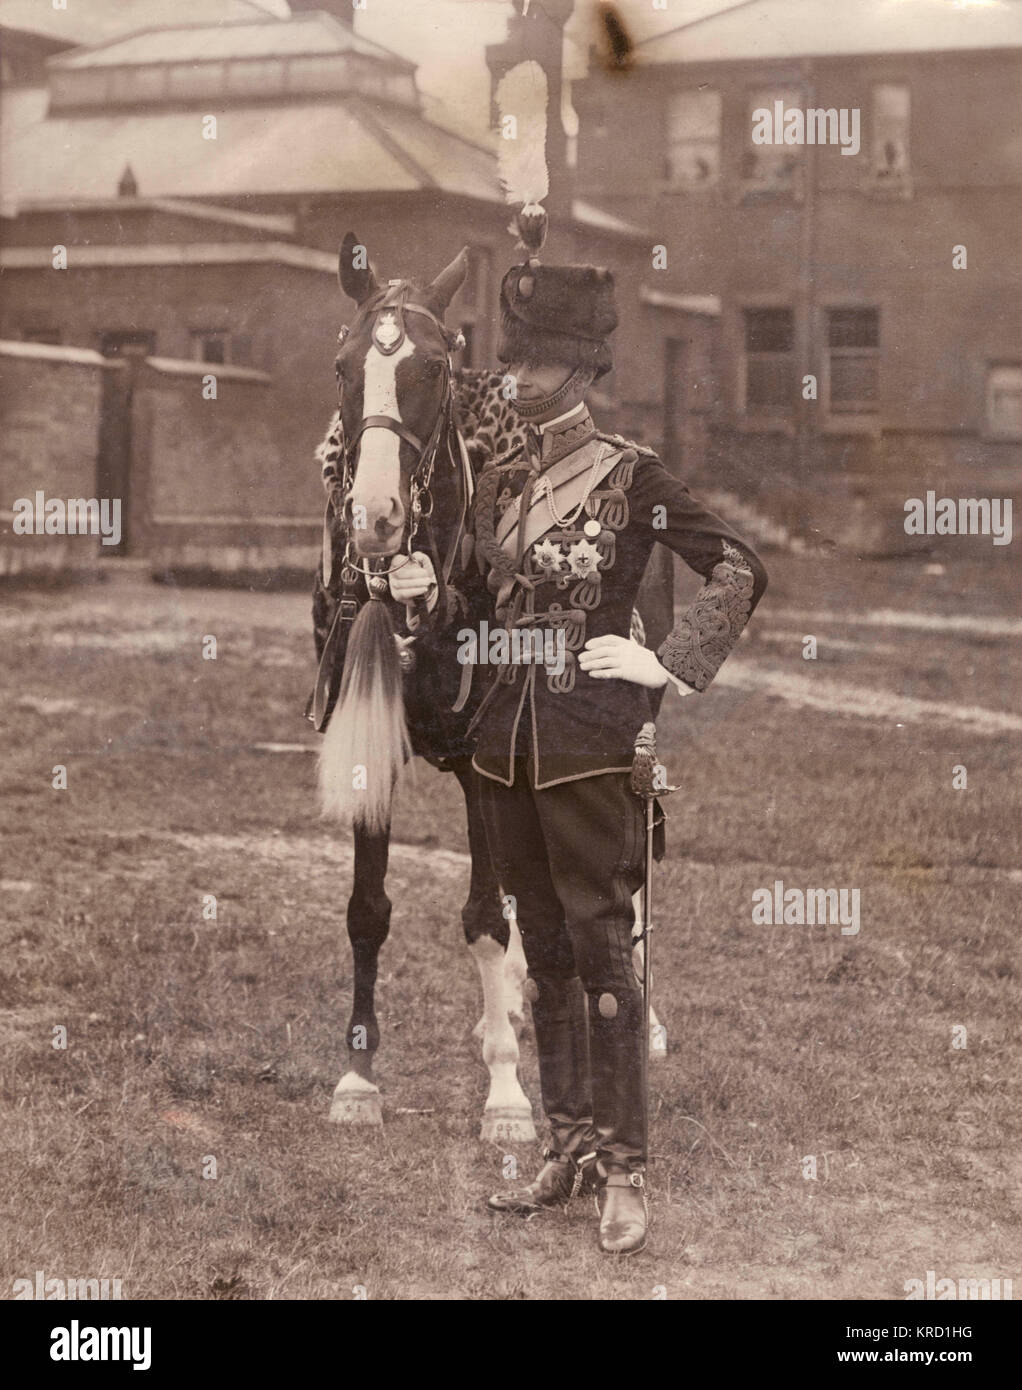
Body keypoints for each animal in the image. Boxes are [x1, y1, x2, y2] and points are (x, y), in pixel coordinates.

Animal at [315, 236, 675, 1139]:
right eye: (343, 364)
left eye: (434, 366)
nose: (374, 516)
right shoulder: (376, 745)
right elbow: (369, 910)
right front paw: (357, 1078)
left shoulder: (490, 759)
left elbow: (485, 917)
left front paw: (508, 1094)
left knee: (618, 882)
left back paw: (637, 1019)